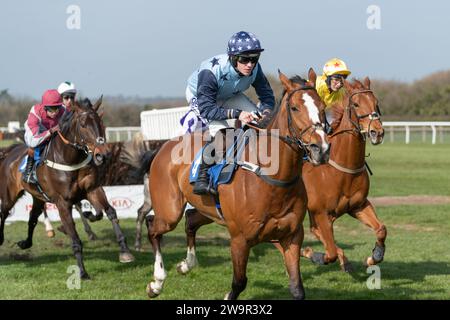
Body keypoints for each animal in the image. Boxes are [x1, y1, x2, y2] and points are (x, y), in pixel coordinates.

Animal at [0, 98, 134, 280]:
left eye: (101, 123)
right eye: (83, 125)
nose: (103, 155)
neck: (70, 158)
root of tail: (10, 151)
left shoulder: (93, 189)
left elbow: (110, 212)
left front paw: (125, 251)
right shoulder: (63, 203)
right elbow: (75, 238)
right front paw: (82, 272)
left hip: (38, 197)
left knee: (32, 218)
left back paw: (26, 242)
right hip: (9, 195)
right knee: (4, 212)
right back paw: (1, 238)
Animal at [146, 70, 328, 300]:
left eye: (323, 106)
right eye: (295, 108)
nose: (320, 149)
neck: (272, 180)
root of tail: (163, 146)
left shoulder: (292, 235)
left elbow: (297, 288)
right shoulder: (240, 239)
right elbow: (239, 282)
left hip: (209, 210)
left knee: (190, 221)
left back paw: (186, 265)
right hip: (169, 212)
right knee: (153, 227)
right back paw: (157, 282)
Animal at [172, 77, 386, 276]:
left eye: (376, 103)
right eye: (356, 104)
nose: (377, 132)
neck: (342, 169)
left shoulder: (358, 205)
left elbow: (381, 228)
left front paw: (373, 256)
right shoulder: (320, 214)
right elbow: (330, 250)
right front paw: (316, 255)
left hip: (215, 208)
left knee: (193, 220)